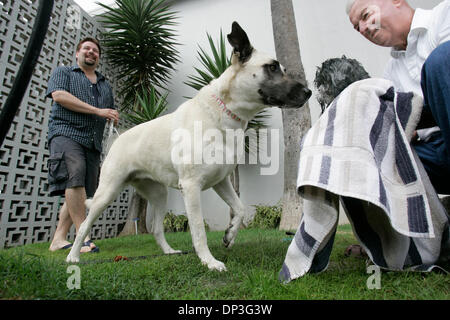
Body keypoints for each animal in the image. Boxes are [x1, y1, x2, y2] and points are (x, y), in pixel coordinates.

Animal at [67, 21, 312, 270]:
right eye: (271, 67)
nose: (308, 92)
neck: (223, 112)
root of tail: (118, 138)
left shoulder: (222, 181)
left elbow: (240, 208)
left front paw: (230, 235)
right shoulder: (192, 187)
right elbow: (198, 230)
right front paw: (209, 261)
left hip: (158, 194)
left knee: (156, 228)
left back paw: (169, 252)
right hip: (107, 192)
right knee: (84, 225)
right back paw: (73, 256)